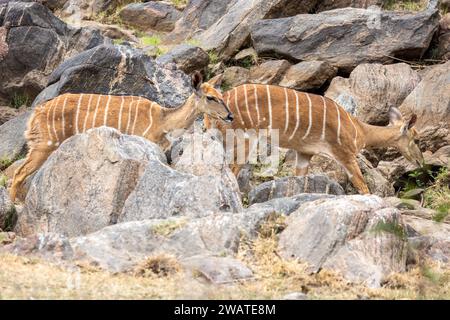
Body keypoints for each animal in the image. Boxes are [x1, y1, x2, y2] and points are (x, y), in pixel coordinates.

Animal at [10, 73, 232, 202]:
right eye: (210, 97)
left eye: (221, 95)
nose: (230, 116)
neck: (162, 121)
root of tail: (36, 112)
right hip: (44, 145)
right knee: (19, 173)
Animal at [206, 82, 424, 194]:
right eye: (416, 138)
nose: (420, 161)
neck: (359, 130)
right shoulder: (344, 154)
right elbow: (362, 186)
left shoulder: (304, 153)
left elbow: (298, 182)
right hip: (246, 139)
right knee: (233, 170)